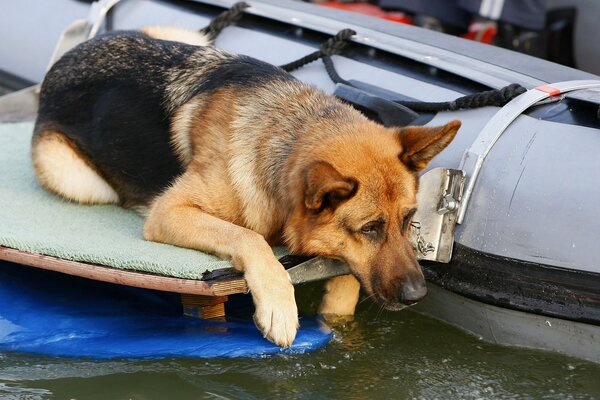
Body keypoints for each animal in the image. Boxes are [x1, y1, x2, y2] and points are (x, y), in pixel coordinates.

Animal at [31, 27, 460, 346]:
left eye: (408, 220)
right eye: (369, 229)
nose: (417, 296)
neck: (286, 133)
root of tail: (65, 59)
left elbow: (346, 276)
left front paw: (336, 313)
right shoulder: (169, 211)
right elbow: (249, 237)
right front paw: (280, 306)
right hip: (77, 179)